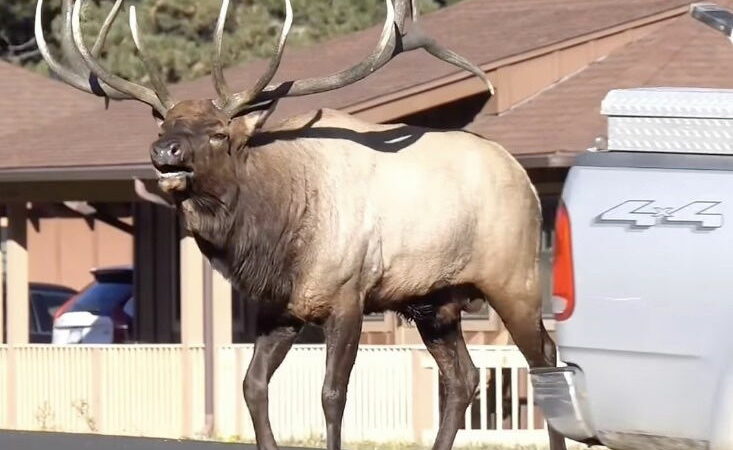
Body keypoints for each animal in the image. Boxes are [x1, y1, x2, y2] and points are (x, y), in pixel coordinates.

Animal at [37, 0, 568, 450]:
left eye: (218, 133)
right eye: (164, 125)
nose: (165, 152)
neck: (279, 236)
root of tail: (522, 175)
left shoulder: (350, 295)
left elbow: (332, 394)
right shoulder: (280, 307)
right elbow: (252, 385)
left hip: (512, 277)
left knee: (544, 357)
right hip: (435, 300)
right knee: (464, 378)